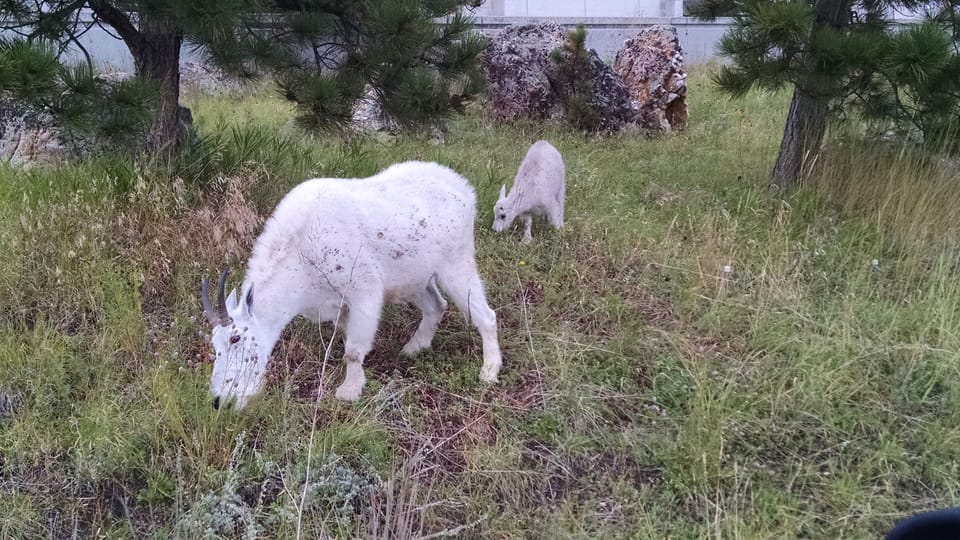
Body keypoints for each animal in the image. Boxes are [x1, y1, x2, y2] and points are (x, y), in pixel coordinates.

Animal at [200, 161, 503, 410]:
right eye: (215, 344)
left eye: (236, 338)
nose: (219, 402)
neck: (301, 249)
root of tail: (465, 190)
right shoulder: (338, 307)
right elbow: (348, 341)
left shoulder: (364, 294)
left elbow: (354, 351)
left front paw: (349, 391)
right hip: (415, 278)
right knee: (436, 305)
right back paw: (413, 348)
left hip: (456, 263)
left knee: (485, 315)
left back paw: (489, 371)